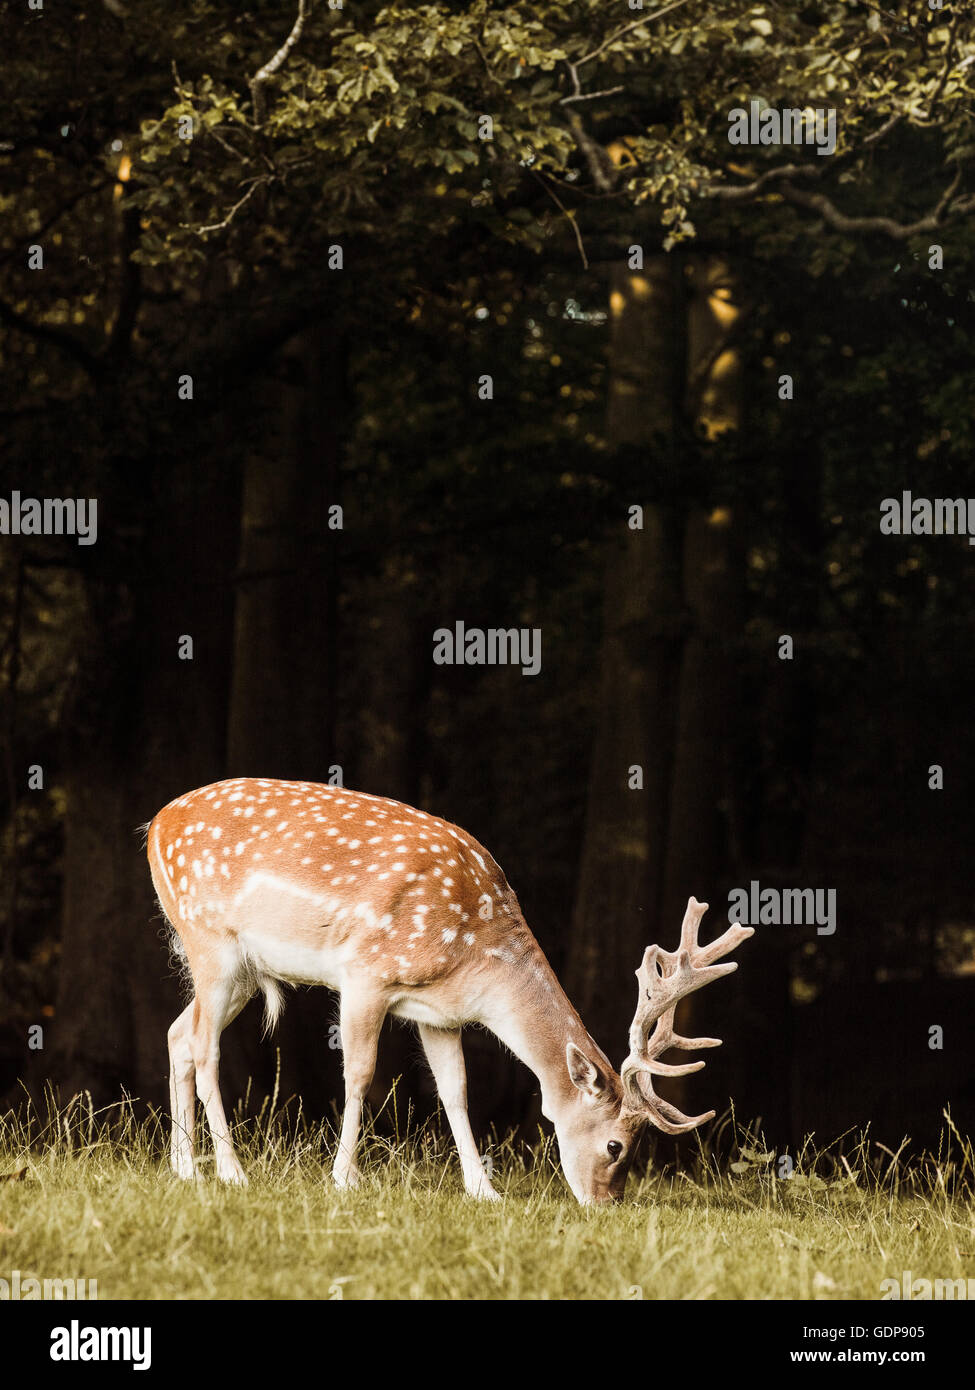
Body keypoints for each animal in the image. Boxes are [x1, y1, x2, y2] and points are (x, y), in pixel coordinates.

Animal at [146, 778, 751, 1200]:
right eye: (615, 1144)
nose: (607, 1203)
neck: (474, 958)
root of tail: (154, 826)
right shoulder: (366, 973)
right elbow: (360, 1074)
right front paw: (345, 1178)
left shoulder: (437, 1012)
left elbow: (456, 1091)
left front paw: (485, 1190)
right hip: (211, 939)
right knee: (203, 1046)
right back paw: (231, 1172)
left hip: (241, 969)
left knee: (177, 1032)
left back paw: (184, 1168)